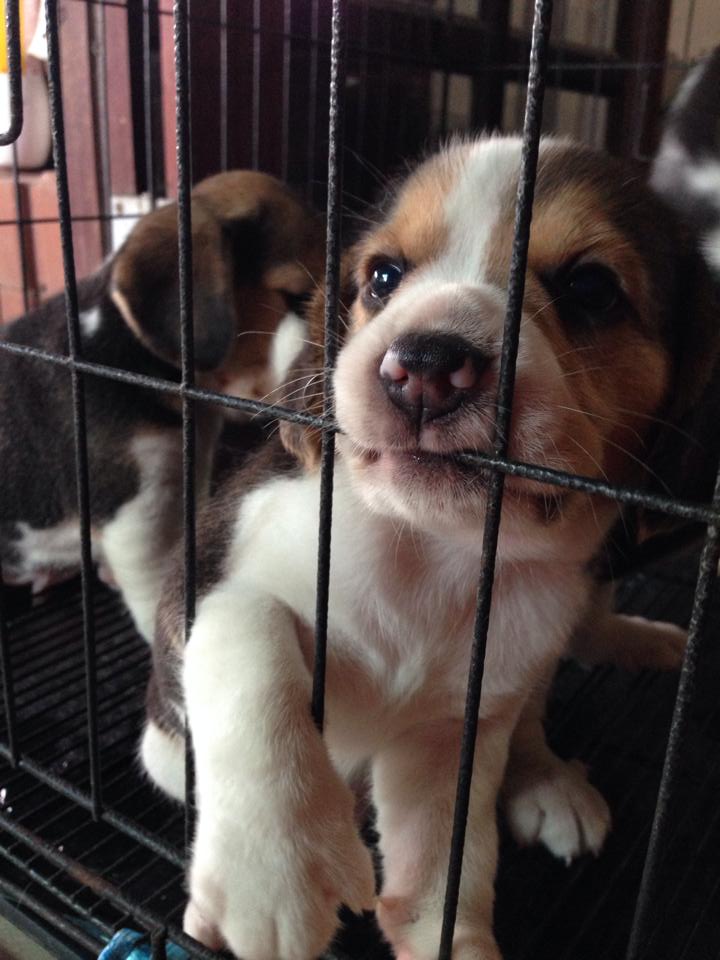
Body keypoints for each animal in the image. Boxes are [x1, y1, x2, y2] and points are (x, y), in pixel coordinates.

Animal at [141, 134, 719, 960]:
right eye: (383, 277)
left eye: (592, 289)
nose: (424, 364)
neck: (434, 553)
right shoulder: (208, 578)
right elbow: (254, 640)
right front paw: (272, 874)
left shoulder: (453, 736)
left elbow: (447, 871)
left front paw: (457, 941)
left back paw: (557, 759)